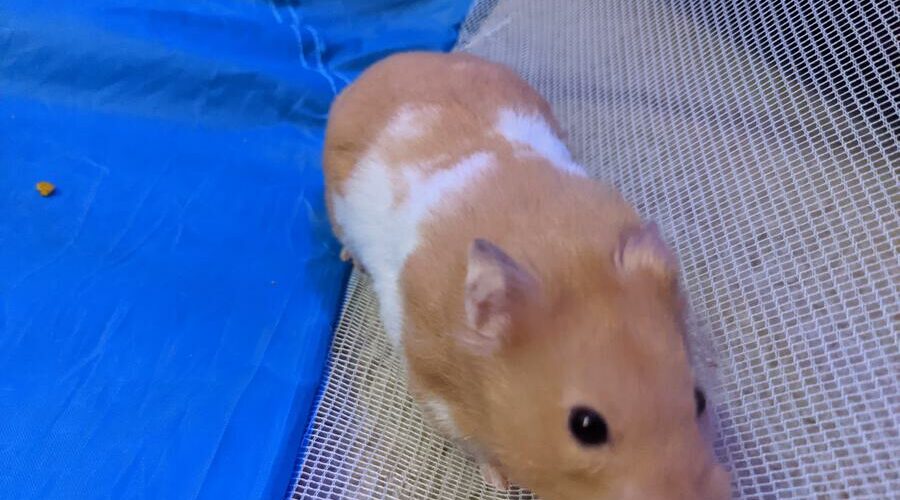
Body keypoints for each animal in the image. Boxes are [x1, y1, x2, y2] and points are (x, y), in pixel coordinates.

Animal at [323, 51, 731, 500]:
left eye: (699, 398)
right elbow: (475, 446)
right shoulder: (436, 391)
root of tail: (382, 65)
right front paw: (498, 481)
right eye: (586, 426)